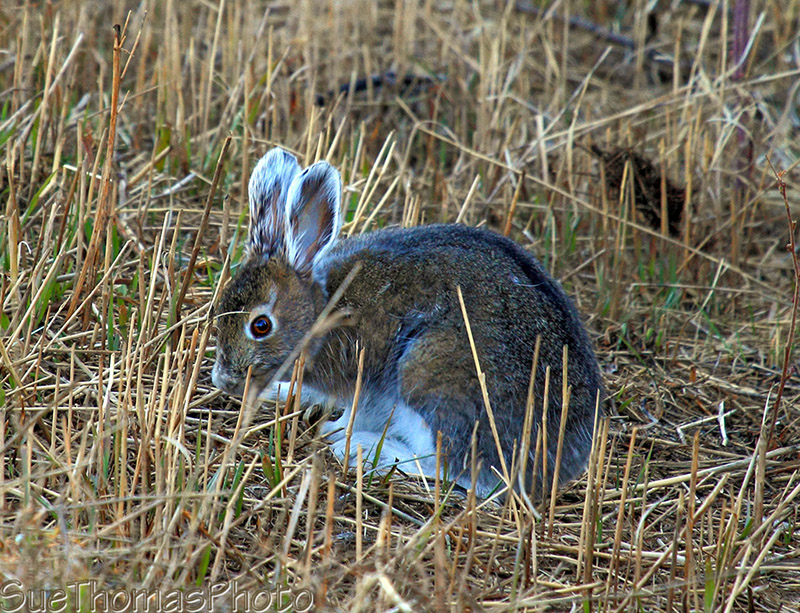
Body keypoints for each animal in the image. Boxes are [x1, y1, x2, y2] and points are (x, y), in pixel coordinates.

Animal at [212, 147, 603, 498]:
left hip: (429, 374)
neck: (323, 309)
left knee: (458, 471)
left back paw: (370, 450)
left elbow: (355, 414)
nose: (223, 379)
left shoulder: (365, 377)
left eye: (261, 326)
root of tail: (562, 462)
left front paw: (335, 431)